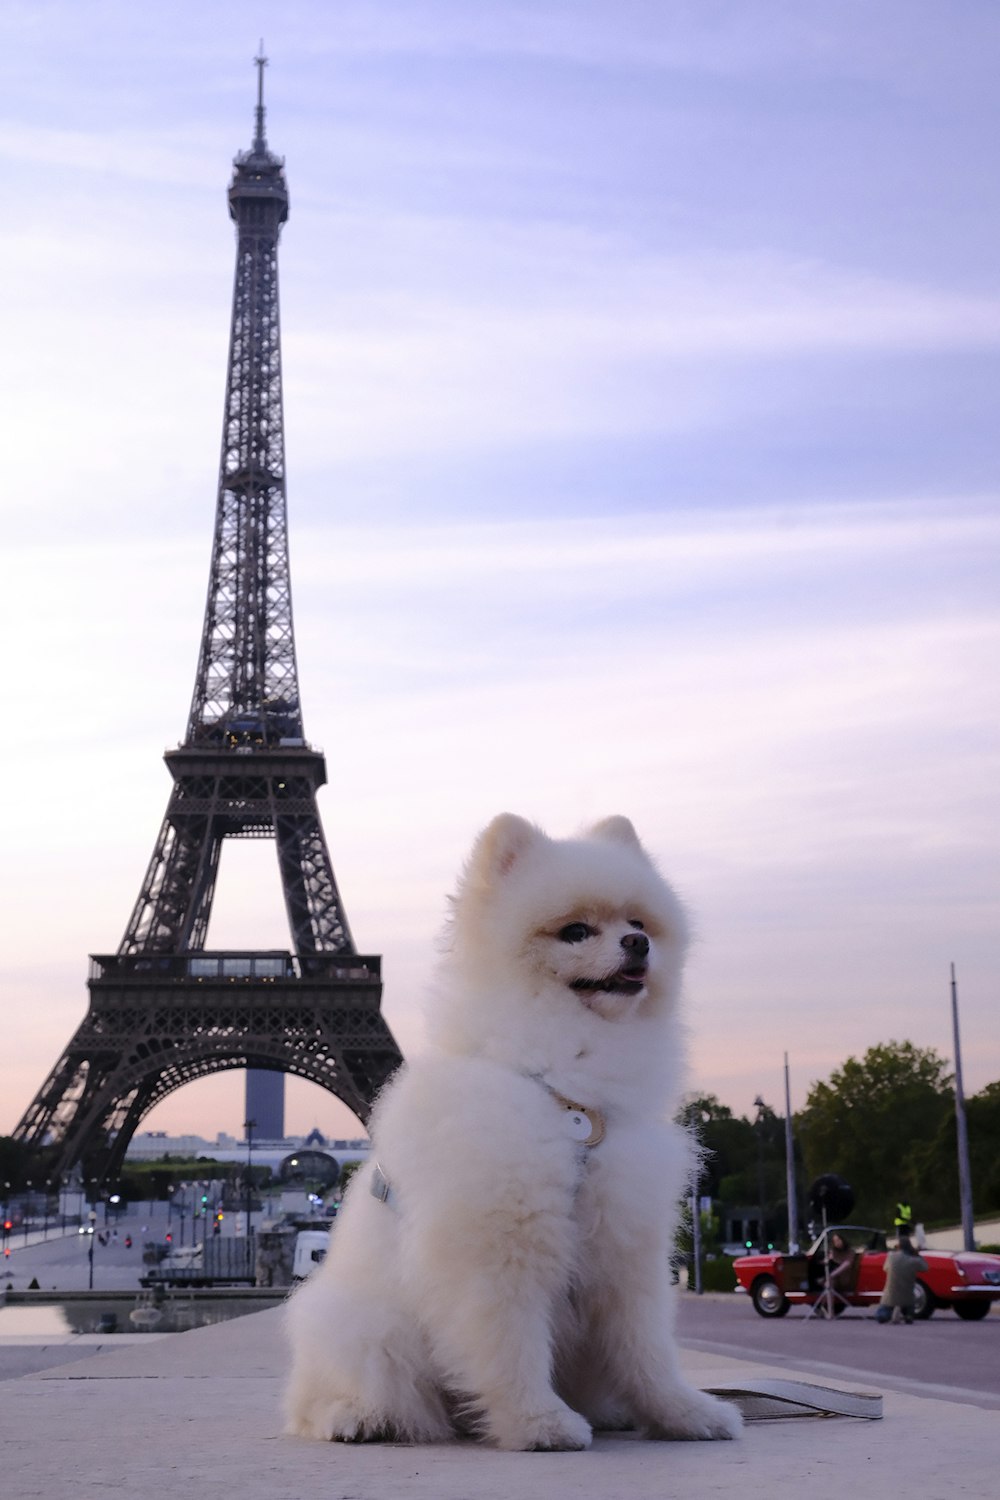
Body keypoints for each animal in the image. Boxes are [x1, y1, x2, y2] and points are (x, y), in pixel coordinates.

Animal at [284, 816, 740, 1446]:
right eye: (576, 931)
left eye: (638, 924)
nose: (638, 945)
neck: (573, 1103)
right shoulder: (500, 1248)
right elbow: (512, 1347)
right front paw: (536, 1421)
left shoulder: (626, 1249)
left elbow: (647, 1350)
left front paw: (680, 1413)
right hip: (365, 1326)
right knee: (327, 1399)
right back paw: (356, 1416)